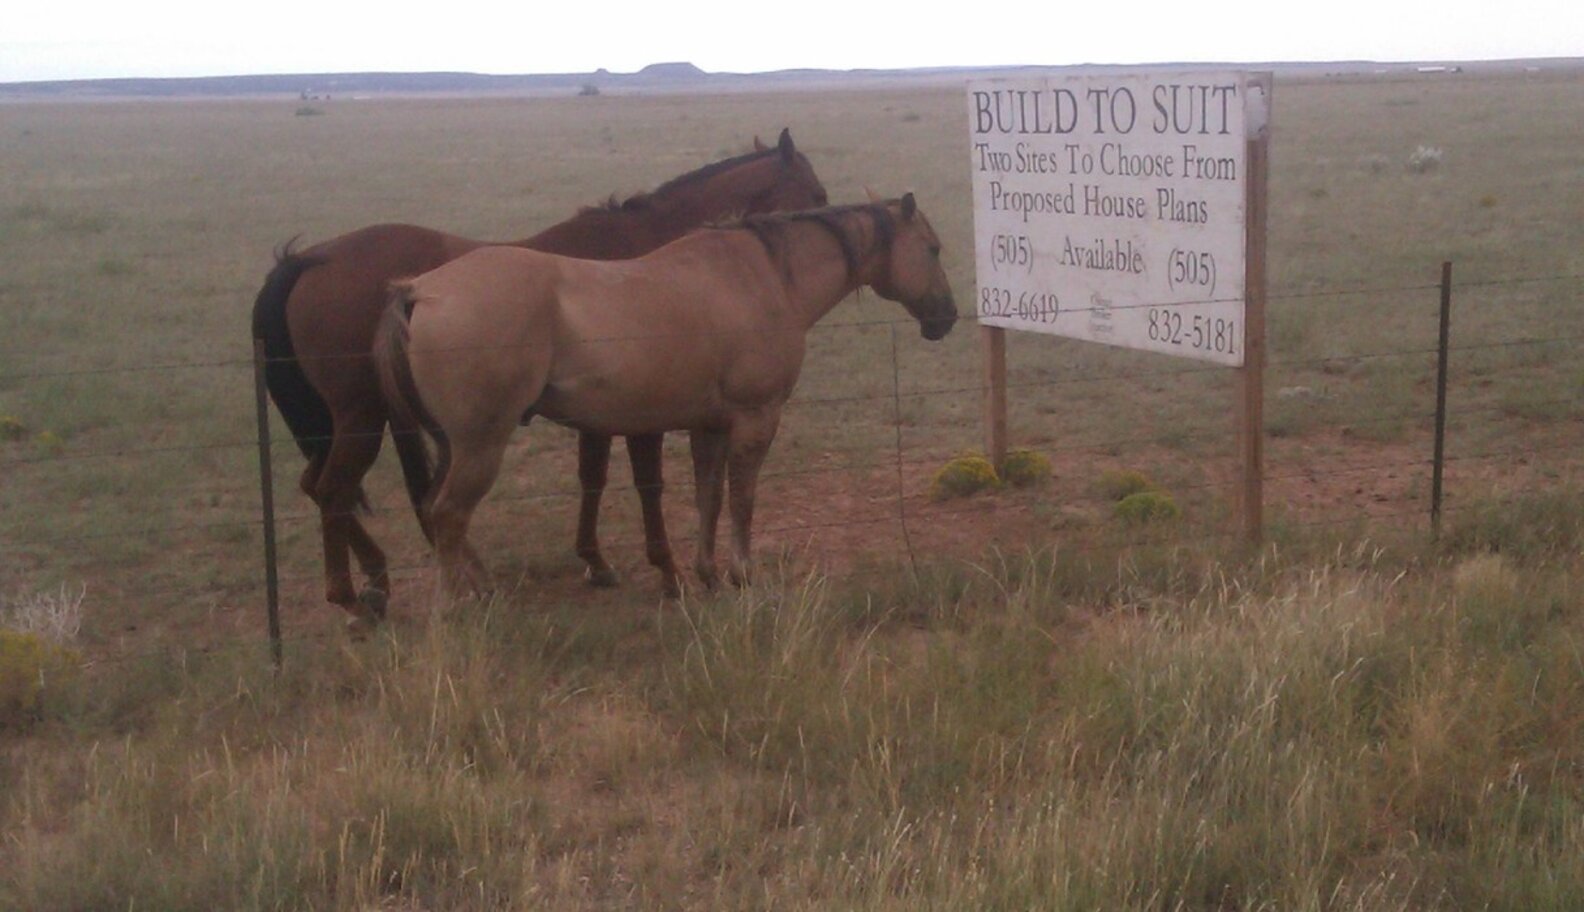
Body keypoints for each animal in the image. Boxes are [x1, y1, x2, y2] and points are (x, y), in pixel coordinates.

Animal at [250, 130, 827, 629]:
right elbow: (646, 486)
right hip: (363, 418)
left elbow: (592, 476)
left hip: (339, 423)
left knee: (323, 487)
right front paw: (666, 571)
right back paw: (355, 597)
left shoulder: (601, 410)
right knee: (336, 491)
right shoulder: (643, 413)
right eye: (816, 194)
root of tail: (305, 261)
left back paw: (392, 580)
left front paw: (595, 561)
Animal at [374, 193, 957, 598]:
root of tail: (421, 290)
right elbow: (742, 499)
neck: (762, 277)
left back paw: (480, 588)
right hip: (480, 446)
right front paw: (743, 574)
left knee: (435, 511)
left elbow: (710, 497)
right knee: (449, 514)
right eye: (932, 248)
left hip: (455, 446)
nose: (947, 317)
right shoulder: (755, 419)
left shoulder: (710, 425)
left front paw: (708, 575)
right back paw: (459, 607)